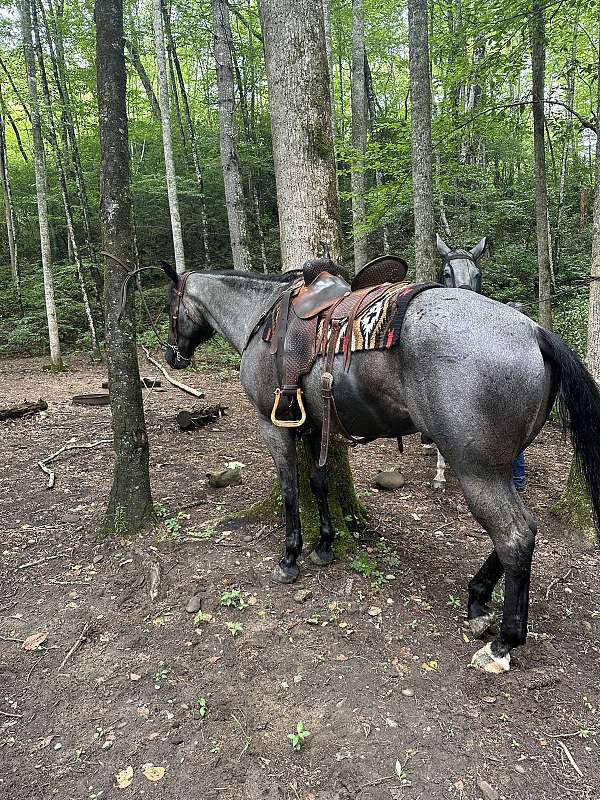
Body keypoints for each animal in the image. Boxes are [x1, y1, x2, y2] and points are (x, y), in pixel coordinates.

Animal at [159, 256, 600, 676]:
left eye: (169, 307)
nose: (171, 355)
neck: (261, 317)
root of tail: (533, 331)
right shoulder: (313, 426)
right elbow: (318, 482)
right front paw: (325, 545)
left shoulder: (274, 426)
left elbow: (290, 490)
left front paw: (290, 558)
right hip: (500, 467)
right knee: (524, 530)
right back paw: (477, 598)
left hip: (478, 470)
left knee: (514, 535)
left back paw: (503, 643)